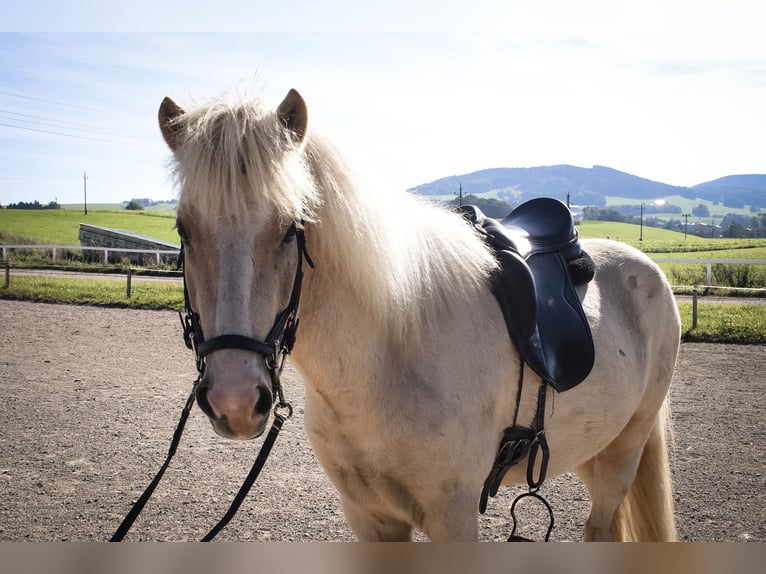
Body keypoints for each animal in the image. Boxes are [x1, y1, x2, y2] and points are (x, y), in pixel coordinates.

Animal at [158, 88, 684, 544]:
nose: (235, 401)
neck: (385, 360)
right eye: (183, 229)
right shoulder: (370, 517)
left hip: (625, 449)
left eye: (292, 227)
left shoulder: (454, 516)